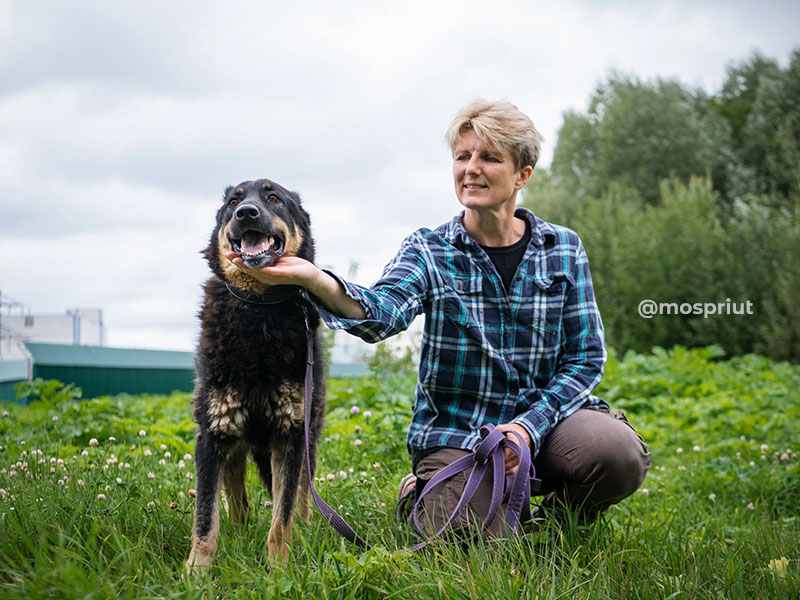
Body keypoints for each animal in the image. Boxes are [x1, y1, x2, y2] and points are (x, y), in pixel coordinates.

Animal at [188, 178, 324, 572]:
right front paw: (196, 573)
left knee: (302, 495)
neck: (258, 307)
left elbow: (282, 516)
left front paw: (279, 570)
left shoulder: (292, 436)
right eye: (234, 202)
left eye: (273, 198)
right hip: (234, 441)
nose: (246, 213)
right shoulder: (212, 433)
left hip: (308, 436)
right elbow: (205, 518)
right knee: (238, 500)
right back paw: (238, 531)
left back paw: (306, 527)